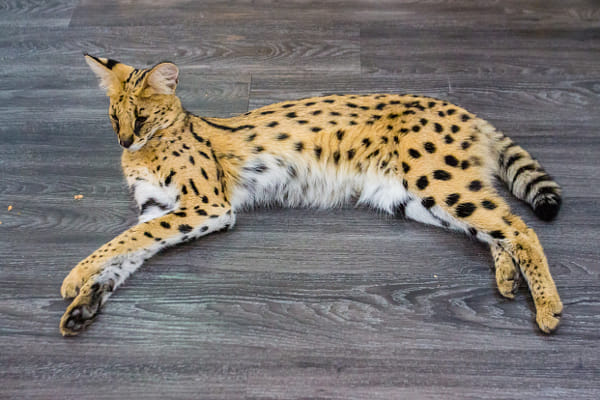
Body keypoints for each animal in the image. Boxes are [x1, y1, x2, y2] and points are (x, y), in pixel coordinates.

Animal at [59, 54, 564, 336]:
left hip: (434, 180)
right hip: (414, 198)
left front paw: (74, 276)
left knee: (520, 228)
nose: (125, 140)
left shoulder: (207, 205)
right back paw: (507, 277)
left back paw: (548, 307)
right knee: (498, 227)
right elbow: (128, 251)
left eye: (142, 117)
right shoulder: (158, 211)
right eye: (114, 116)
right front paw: (85, 300)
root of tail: (460, 108)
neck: (150, 146)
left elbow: (120, 242)